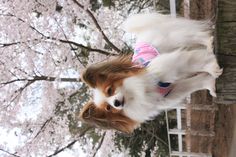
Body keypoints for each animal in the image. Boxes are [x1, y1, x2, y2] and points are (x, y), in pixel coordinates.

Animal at [78, 13, 222, 132]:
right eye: (108, 108)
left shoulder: (173, 65)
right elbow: (195, 84)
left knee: (197, 35)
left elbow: (197, 62)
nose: (116, 103)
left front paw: (212, 66)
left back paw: (209, 41)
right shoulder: (173, 92)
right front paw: (210, 83)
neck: (137, 93)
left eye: (109, 90)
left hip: (175, 39)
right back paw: (209, 47)